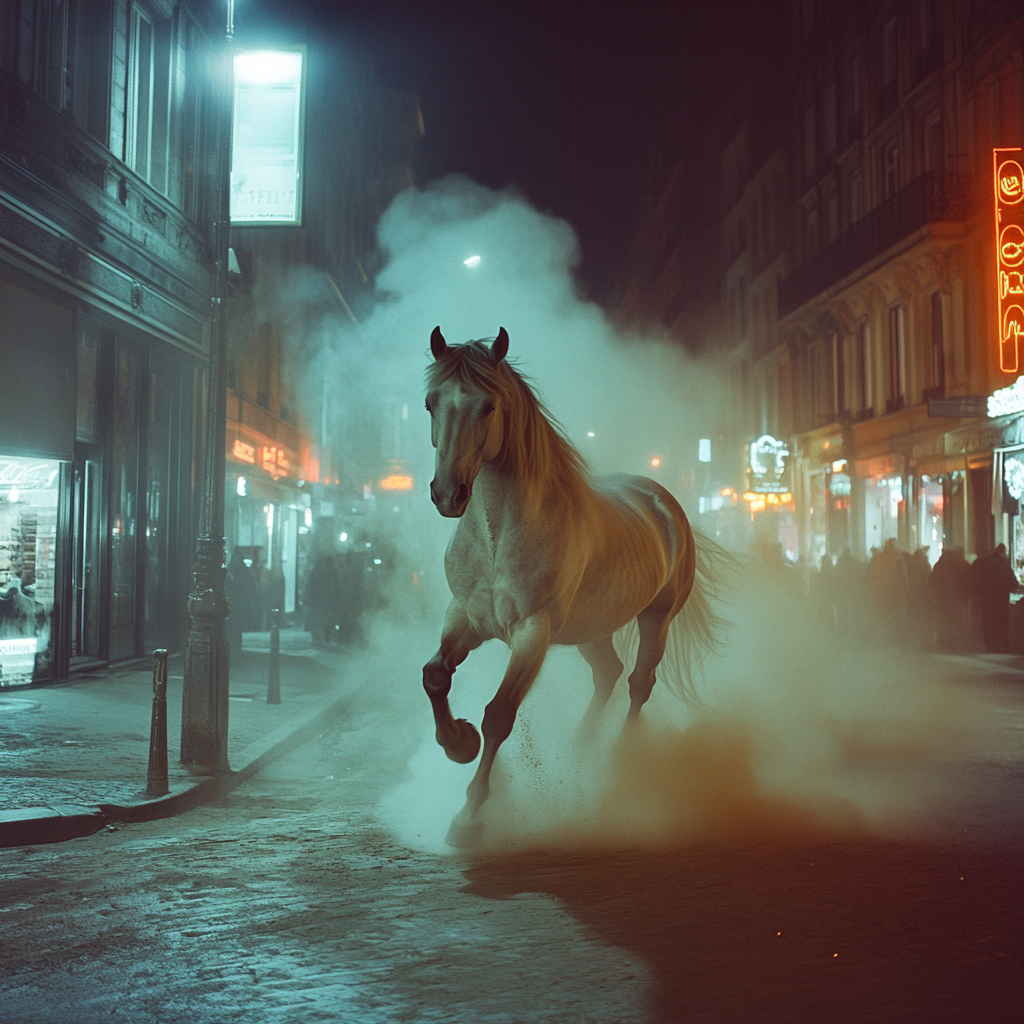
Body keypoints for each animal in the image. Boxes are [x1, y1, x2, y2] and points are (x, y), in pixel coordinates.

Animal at [421, 327, 729, 847]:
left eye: (489, 406)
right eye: (429, 403)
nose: (448, 495)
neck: (496, 539)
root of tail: (663, 502)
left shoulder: (532, 632)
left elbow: (499, 714)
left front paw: (469, 817)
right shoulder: (464, 617)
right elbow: (435, 676)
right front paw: (459, 742)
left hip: (656, 618)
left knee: (638, 682)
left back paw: (619, 764)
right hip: (592, 629)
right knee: (608, 673)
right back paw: (580, 750)